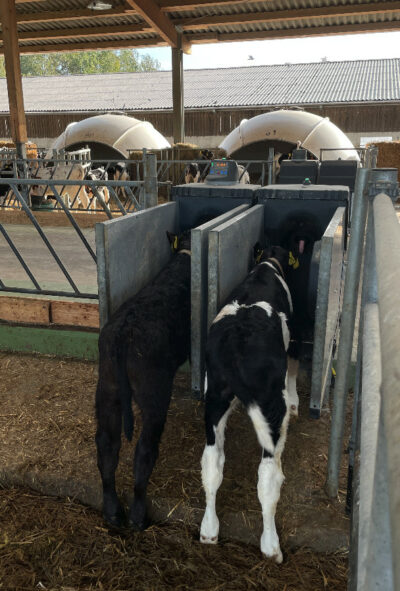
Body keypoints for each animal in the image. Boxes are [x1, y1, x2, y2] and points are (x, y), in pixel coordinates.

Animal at [95, 231, 192, 532]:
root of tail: (124, 333)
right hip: (155, 396)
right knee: (144, 451)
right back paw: (137, 513)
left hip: (107, 389)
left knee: (107, 445)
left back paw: (113, 510)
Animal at [200, 246, 296, 564]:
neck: (267, 264)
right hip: (270, 405)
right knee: (267, 475)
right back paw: (271, 546)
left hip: (214, 398)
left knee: (212, 462)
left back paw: (209, 530)